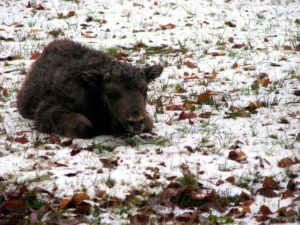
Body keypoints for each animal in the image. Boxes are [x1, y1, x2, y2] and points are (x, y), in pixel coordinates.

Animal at [17, 39, 163, 138]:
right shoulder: (47, 110)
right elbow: (83, 127)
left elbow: (149, 123)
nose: (136, 122)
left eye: (145, 89)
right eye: (110, 93)